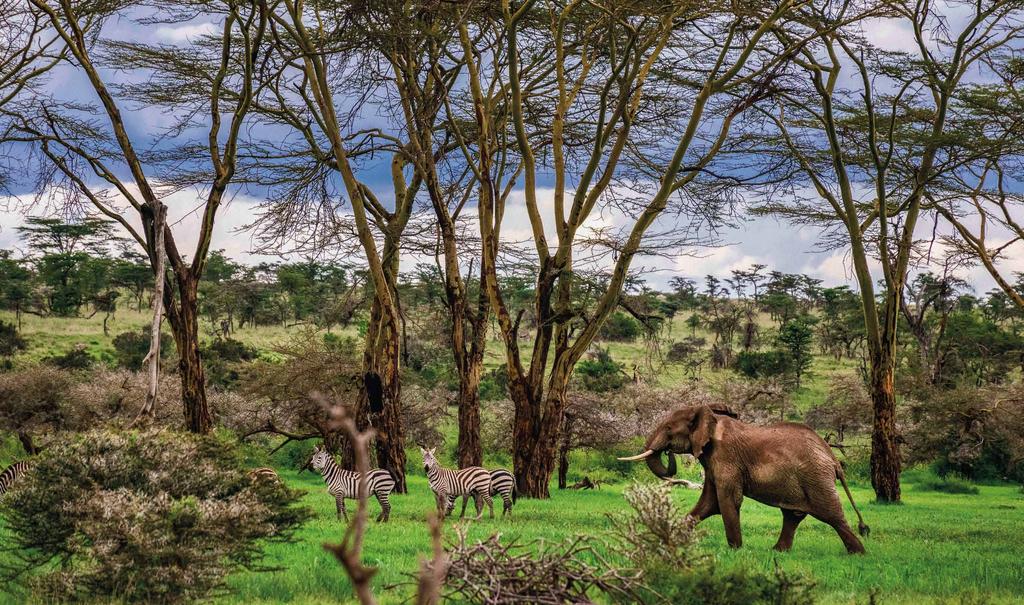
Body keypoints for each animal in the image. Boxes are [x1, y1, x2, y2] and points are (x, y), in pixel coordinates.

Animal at [618, 407, 868, 552]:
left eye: (669, 428)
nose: (668, 451)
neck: (710, 418)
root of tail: (833, 458)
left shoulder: (726, 458)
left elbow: (727, 501)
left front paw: (735, 551)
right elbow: (708, 504)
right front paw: (670, 540)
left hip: (816, 478)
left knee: (832, 515)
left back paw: (858, 553)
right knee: (792, 516)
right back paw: (777, 551)